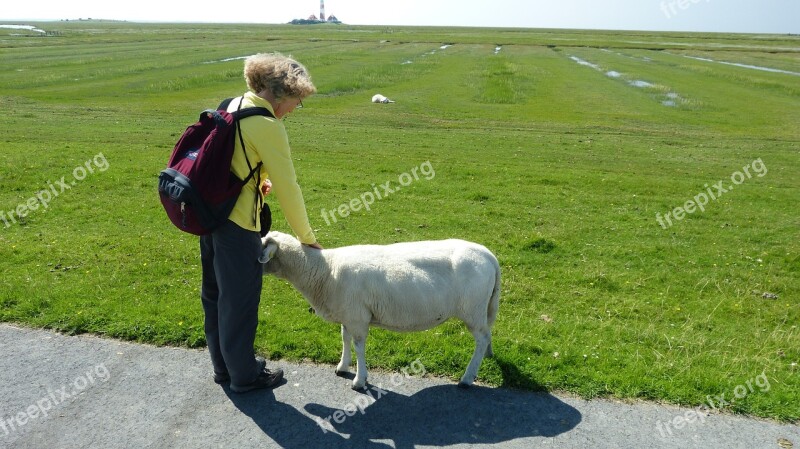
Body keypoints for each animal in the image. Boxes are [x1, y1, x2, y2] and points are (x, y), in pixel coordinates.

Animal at [260, 231, 500, 388]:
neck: (326, 271)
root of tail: (488, 255)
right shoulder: (348, 314)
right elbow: (344, 338)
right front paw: (342, 366)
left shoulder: (358, 318)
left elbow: (358, 346)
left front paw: (359, 380)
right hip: (482, 308)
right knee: (487, 334)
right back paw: (487, 356)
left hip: (472, 310)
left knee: (481, 339)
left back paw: (467, 377)